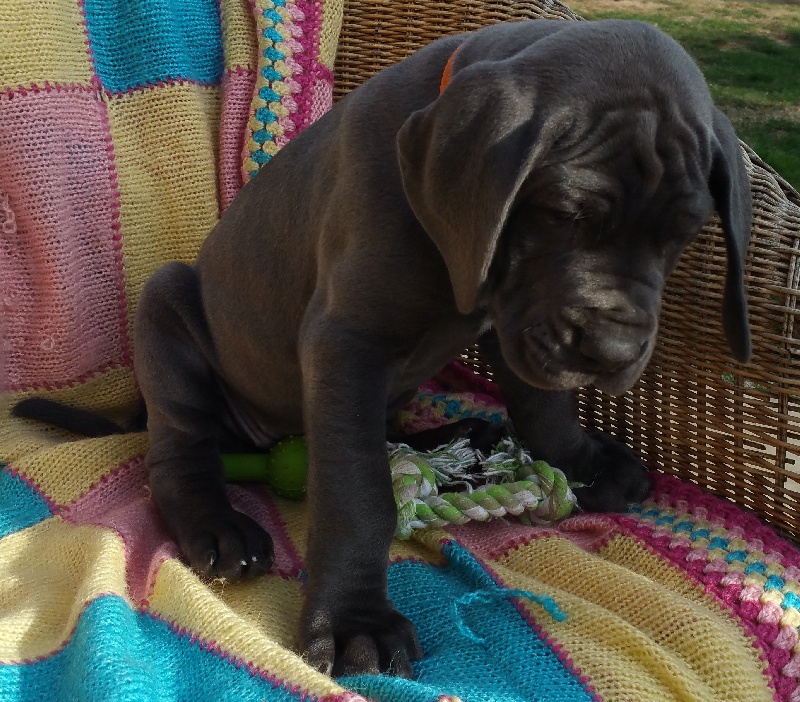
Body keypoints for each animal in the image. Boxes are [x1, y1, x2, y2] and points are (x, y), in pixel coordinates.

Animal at [14, 19, 752, 678]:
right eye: (566, 214)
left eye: (683, 234)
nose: (610, 350)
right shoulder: (348, 343)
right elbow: (358, 487)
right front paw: (353, 623)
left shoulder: (516, 321)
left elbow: (543, 405)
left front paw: (583, 461)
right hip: (168, 305)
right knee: (177, 454)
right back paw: (218, 526)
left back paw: (455, 436)